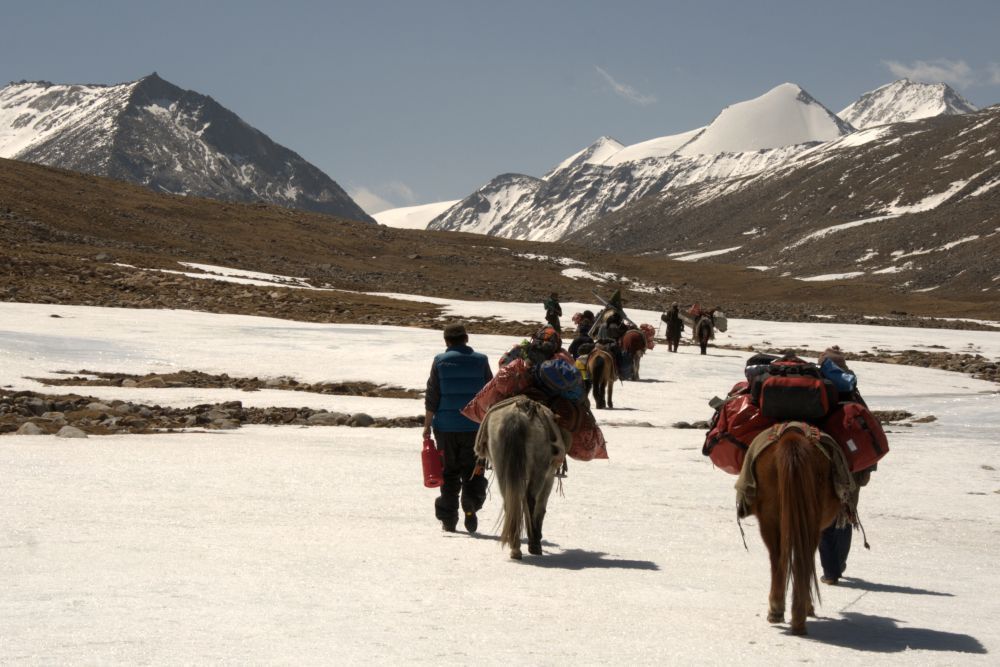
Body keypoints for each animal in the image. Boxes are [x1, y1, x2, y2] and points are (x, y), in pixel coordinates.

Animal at [478, 396, 572, 560]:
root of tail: (517, 416)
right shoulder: (549, 477)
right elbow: (541, 508)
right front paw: (536, 540)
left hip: (502, 466)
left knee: (510, 500)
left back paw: (515, 547)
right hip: (539, 469)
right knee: (530, 500)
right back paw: (532, 545)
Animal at [752, 426, 844, 636]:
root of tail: (791, 438)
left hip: (770, 518)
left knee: (779, 558)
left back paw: (782, 612)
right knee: (798, 558)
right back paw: (795, 616)